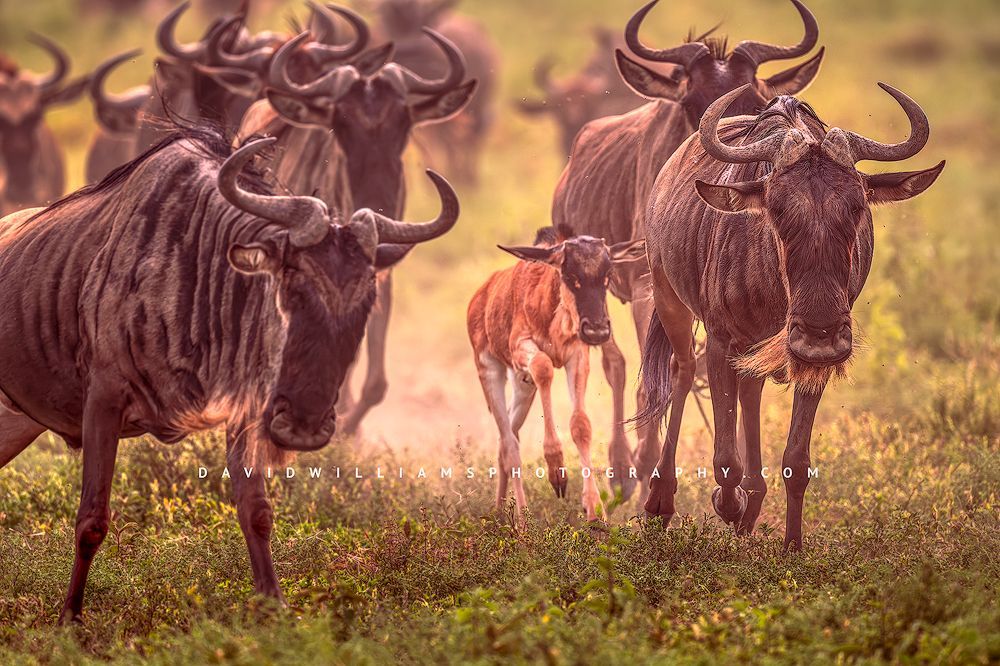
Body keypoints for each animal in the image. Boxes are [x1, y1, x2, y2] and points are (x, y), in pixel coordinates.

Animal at [0, 126, 460, 622]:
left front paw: (274, 604)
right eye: (291, 284)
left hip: (16, 422)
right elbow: (92, 518)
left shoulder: (249, 410)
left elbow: (255, 510)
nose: (303, 427)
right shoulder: (103, 401)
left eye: (367, 299)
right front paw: (70, 618)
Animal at [238, 26, 476, 436]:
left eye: (404, 123)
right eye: (340, 123)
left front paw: (349, 427)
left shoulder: (380, 276)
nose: (378, 209)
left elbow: (373, 380)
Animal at [467, 224, 646, 523]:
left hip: (522, 387)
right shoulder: (522, 347)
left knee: (506, 441)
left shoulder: (578, 356)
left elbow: (581, 425)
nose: (597, 330)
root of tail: (479, 297)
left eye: (607, 276)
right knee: (510, 445)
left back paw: (499, 515)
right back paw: (523, 521)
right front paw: (556, 472)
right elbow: (543, 367)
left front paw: (595, 511)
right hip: (489, 370)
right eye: (569, 275)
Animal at [551, 0, 825, 502]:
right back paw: (623, 469)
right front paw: (646, 473)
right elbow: (652, 378)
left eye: (756, 108)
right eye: (690, 105)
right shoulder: (645, 287)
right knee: (618, 364)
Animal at [638, 84, 944, 550]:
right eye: (777, 209)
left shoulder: (811, 361)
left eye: (857, 207)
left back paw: (752, 502)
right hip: (668, 295)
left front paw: (791, 547)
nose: (819, 332)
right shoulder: (720, 341)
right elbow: (724, 456)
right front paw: (726, 504)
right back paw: (662, 500)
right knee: (682, 372)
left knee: (749, 390)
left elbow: (796, 462)